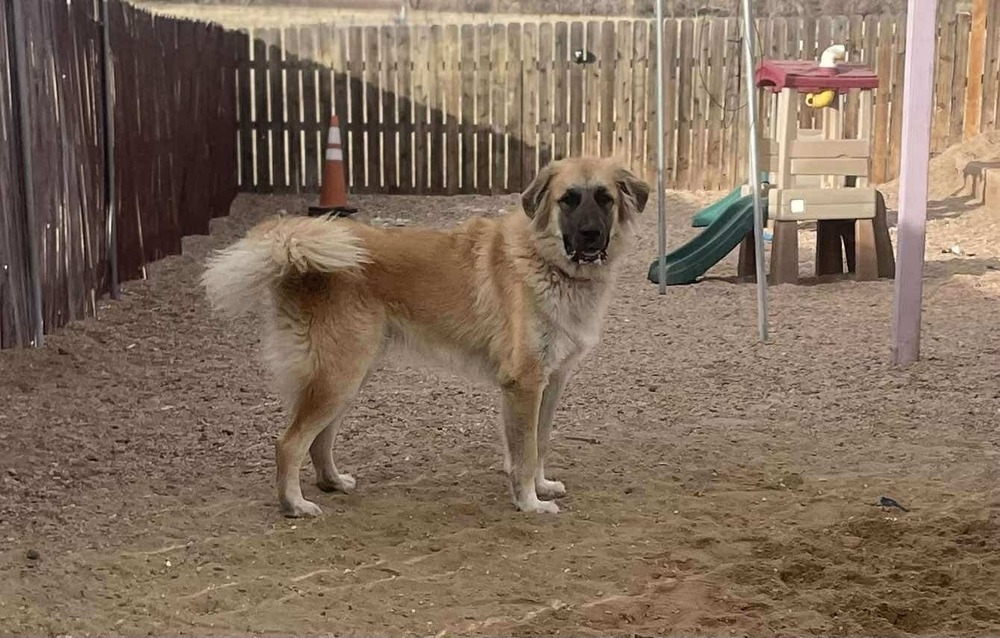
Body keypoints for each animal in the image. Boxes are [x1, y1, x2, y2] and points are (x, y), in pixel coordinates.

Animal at [205, 156, 648, 520]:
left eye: (604, 199)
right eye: (568, 200)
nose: (590, 236)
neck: (544, 260)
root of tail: (295, 251)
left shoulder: (551, 382)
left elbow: (539, 443)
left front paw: (540, 487)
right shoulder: (524, 384)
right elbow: (523, 451)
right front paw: (529, 502)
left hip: (350, 376)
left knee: (319, 439)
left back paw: (332, 483)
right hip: (340, 375)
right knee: (289, 442)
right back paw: (294, 504)